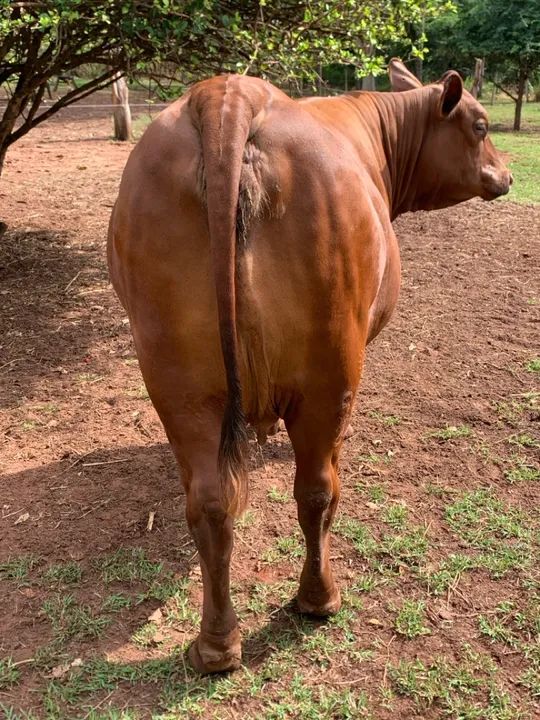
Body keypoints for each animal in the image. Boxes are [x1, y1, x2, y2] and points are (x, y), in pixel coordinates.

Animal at [107, 59, 511, 674]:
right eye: (481, 126)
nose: (507, 176)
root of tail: (229, 93)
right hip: (331, 369)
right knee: (318, 488)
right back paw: (318, 598)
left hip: (177, 379)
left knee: (209, 501)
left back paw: (216, 644)